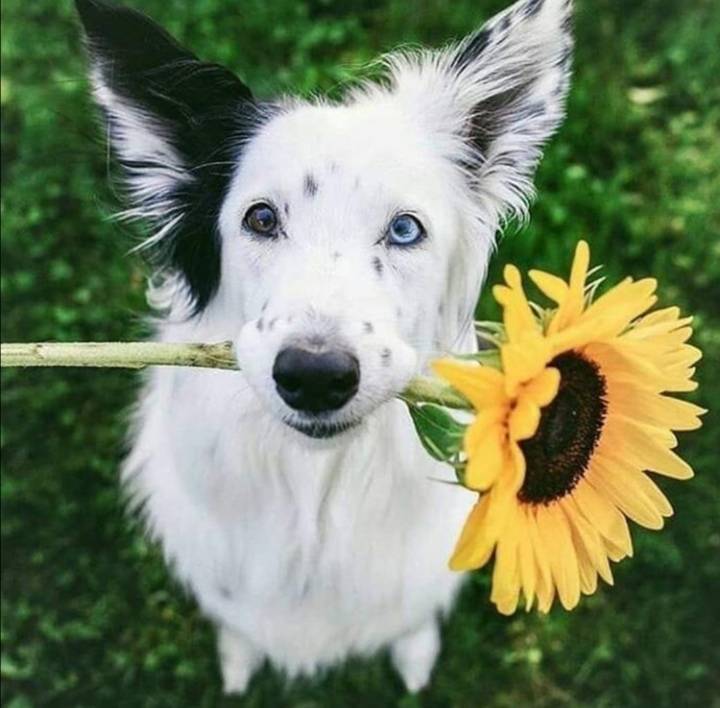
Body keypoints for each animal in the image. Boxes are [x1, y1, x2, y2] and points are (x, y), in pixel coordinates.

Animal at [77, 0, 572, 696]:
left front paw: (415, 659)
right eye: (260, 218)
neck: (315, 489)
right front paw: (238, 659)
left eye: (404, 229)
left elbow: (411, 617)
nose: (314, 377)